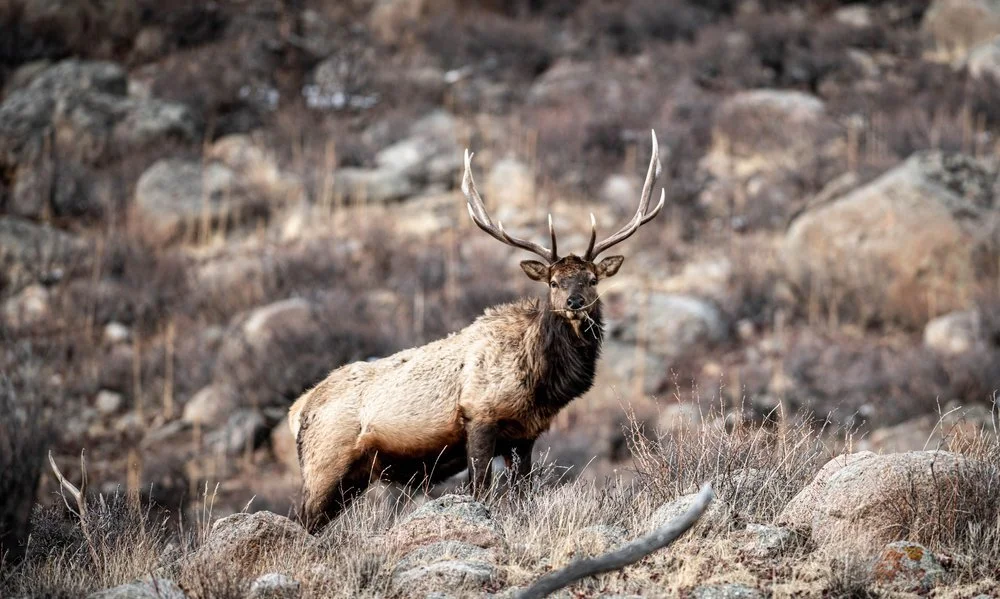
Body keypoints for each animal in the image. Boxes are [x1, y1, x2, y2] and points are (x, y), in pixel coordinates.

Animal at [289, 131, 665, 532]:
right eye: (553, 282)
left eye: (592, 279)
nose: (574, 303)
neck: (540, 383)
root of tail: (298, 410)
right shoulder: (479, 416)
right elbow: (480, 490)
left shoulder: (525, 435)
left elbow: (522, 493)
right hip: (323, 463)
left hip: (353, 477)